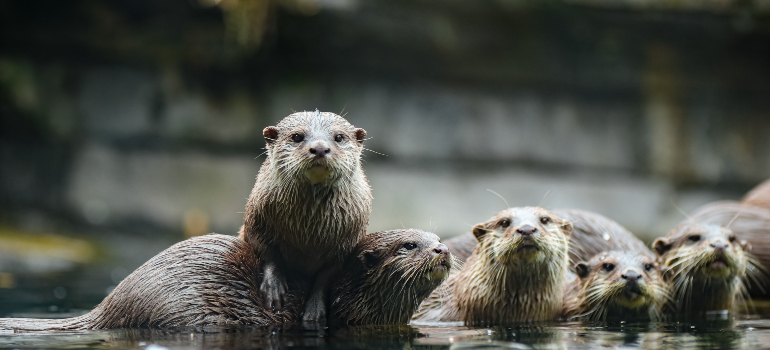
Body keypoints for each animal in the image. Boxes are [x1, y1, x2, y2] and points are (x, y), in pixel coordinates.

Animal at [240, 110, 372, 324]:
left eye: (339, 137)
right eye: (296, 136)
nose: (319, 148)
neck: (307, 236)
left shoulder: (347, 243)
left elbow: (326, 276)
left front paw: (314, 310)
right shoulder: (255, 221)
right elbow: (267, 252)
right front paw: (273, 288)